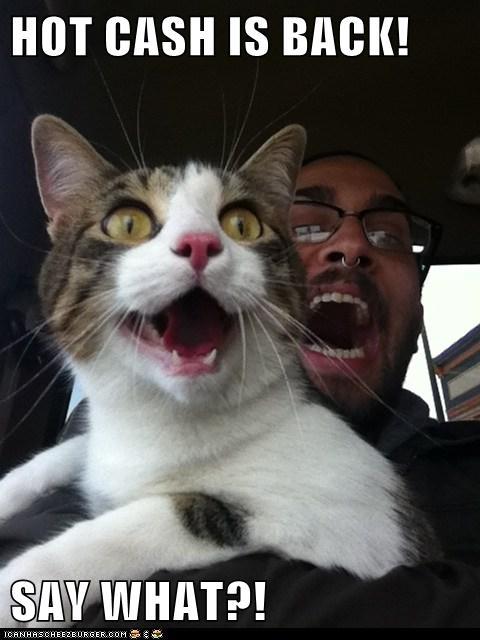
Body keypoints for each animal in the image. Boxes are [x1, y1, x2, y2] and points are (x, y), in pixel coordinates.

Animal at [0, 115, 437, 627]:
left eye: (241, 223)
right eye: (128, 222)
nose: (199, 243)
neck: (163, 418)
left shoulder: (362, 522)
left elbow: (167, 515)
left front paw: (21, 586)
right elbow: (70, 449)